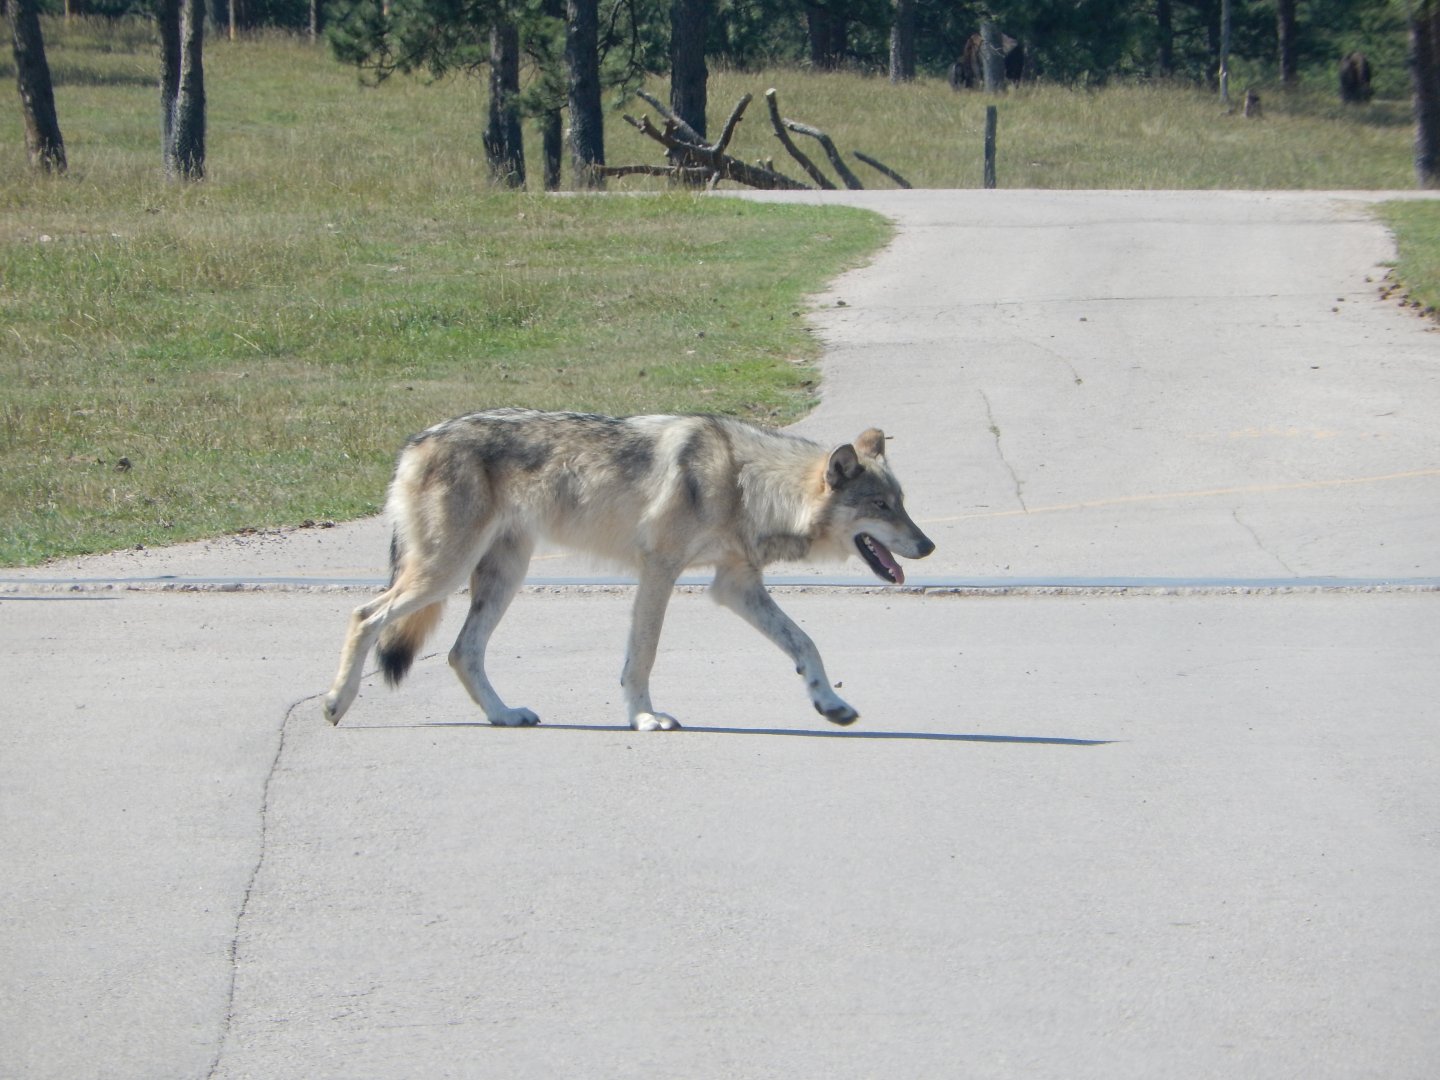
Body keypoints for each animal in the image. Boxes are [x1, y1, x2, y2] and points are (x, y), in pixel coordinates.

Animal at [321, 408, 934, 731]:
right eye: (882, 507)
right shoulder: (659, 570)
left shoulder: (735, 585)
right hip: (444, 574)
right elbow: (642, 656)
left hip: (501, 577)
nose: (928, 546)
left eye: (902, 504)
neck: (746, 483)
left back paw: (505, 715)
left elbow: (805, 644)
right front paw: (645, 718)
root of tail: (414, 442)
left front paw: (830, 703)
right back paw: (335, 704)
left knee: (460, 652)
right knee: (363, 615)